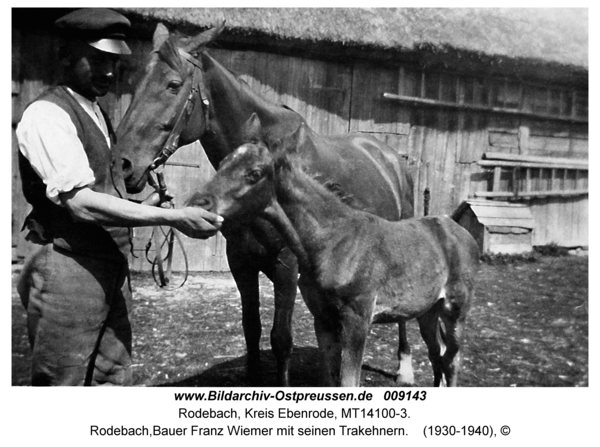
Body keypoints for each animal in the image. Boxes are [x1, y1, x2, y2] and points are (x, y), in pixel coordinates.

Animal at [117, 23, 418, 384]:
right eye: (135, 82)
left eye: (173, 84)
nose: (123, 164)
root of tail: (389, 156)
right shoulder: (241, 264)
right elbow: (251, 329)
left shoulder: (286, 268)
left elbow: (281, 339)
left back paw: (405, 369)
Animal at [188, 138, 478, 386]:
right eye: (222, 164)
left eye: (254, 173)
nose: (198, 203)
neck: (333, 241)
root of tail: (459, 230)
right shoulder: (323, 320)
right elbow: (329, 379)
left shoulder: (357, 321)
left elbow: (349, 383)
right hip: (428, 312)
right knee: (436, 354)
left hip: (455, 311)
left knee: (452, 359)